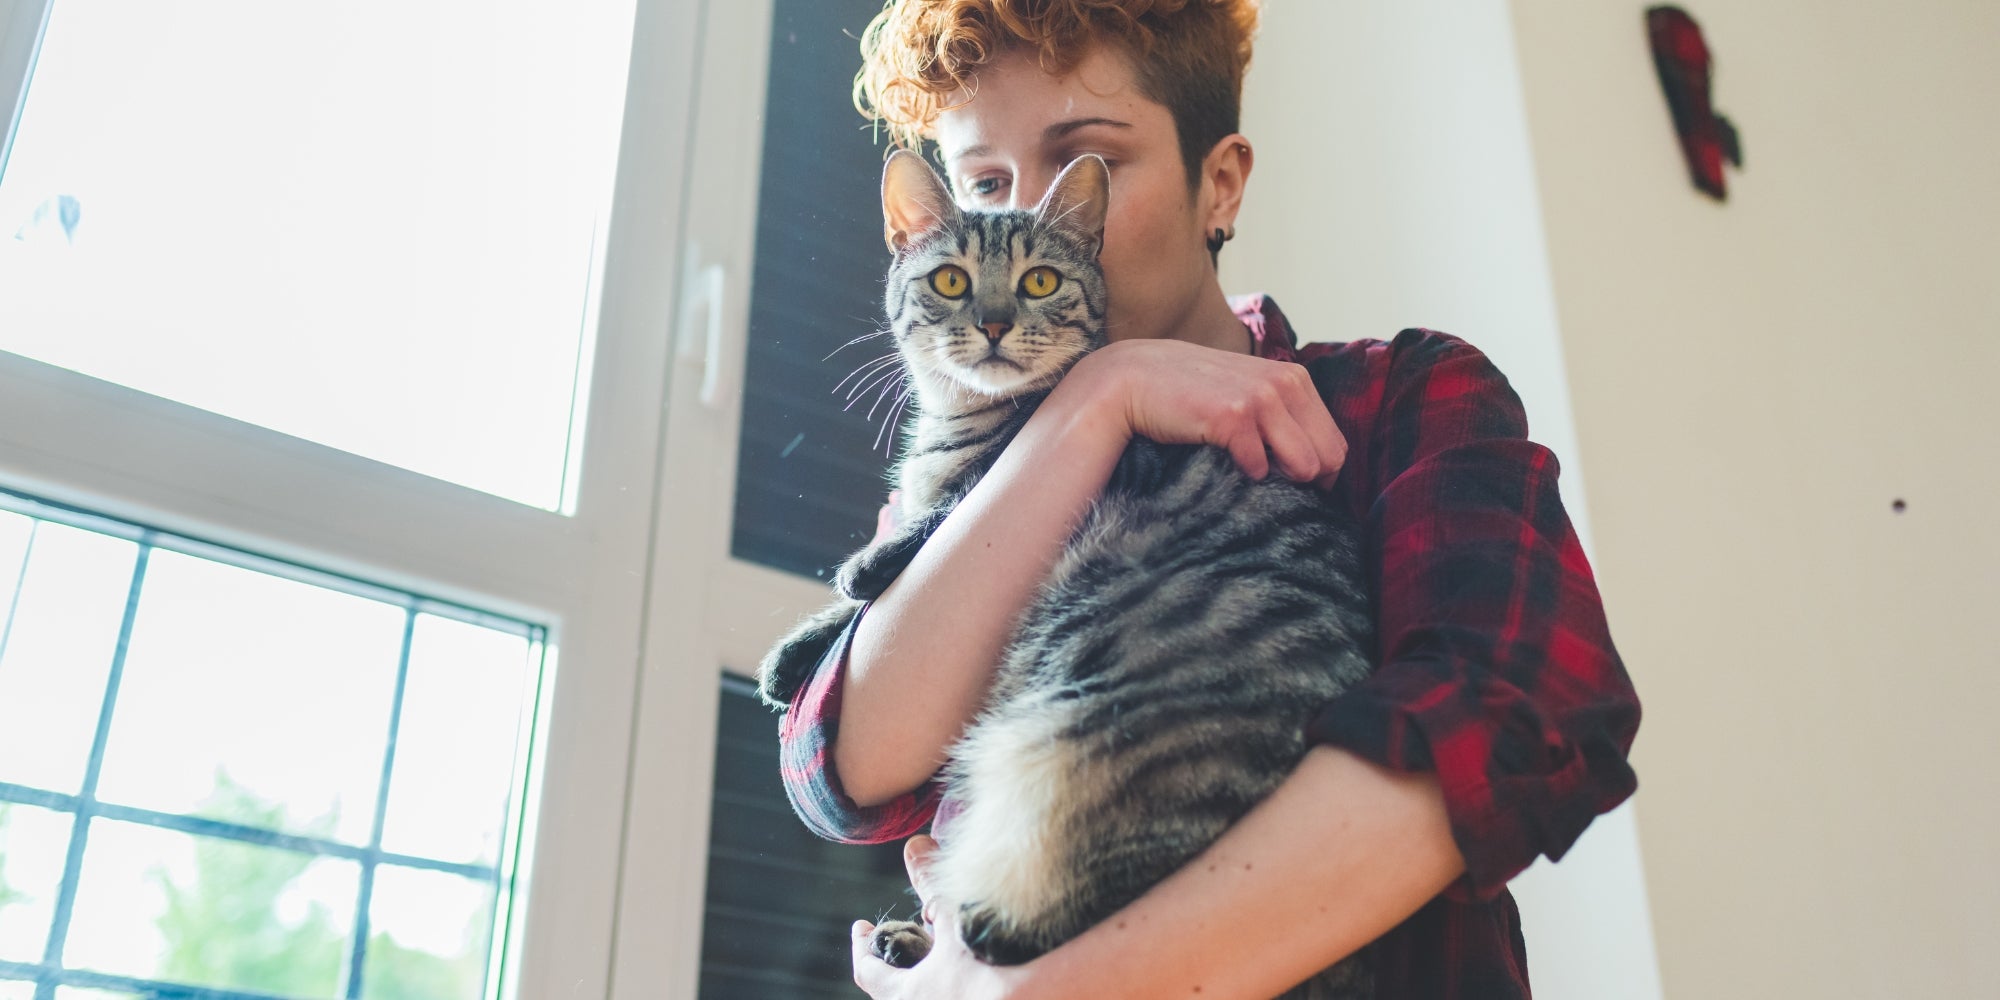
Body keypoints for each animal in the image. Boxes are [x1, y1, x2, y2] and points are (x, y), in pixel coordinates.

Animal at [756, 150, 1384, 1000]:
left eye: (1040, 281)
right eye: (950, 280)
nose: (993, 322)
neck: (956, 421)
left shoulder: (976, 490)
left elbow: (920, 533)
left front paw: (859, 572)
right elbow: (851, 614)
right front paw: (794, 655)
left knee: (1023, 920)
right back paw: (907, 938)